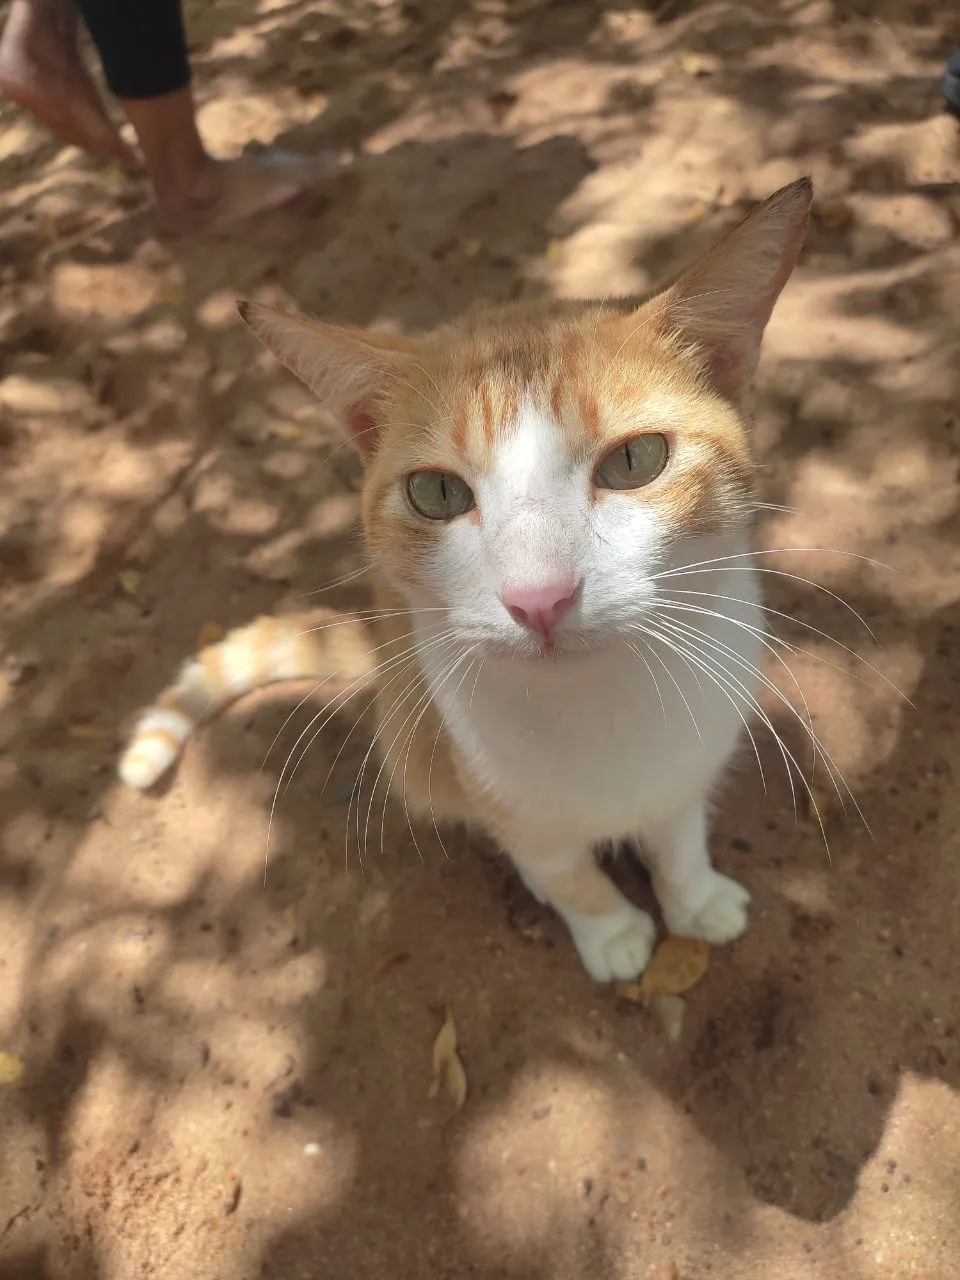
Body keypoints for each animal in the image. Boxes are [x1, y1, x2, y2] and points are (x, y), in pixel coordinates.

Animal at [116, 177, 814, 977]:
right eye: (438, 493)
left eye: (637, 461)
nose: (539, 598)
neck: (599, 705)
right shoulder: (502, 801)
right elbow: (564, 873)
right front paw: (611, 931)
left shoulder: (691, 759)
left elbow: (677, 832)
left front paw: (693, 896)